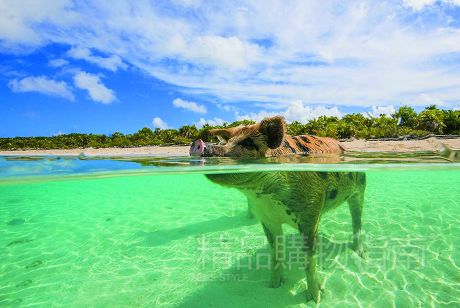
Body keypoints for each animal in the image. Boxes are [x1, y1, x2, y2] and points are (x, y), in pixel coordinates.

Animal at [189, 116, 364, 302]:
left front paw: (314, 298)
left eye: (249, 143)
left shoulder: (310, 211)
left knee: (357, 220)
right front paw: (273, 286)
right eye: (227, 141)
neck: (263, 194)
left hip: (360, 186)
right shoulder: (266, 217)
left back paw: (359, 253)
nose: (200, 144)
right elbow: (275, 251)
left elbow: (309, 258)